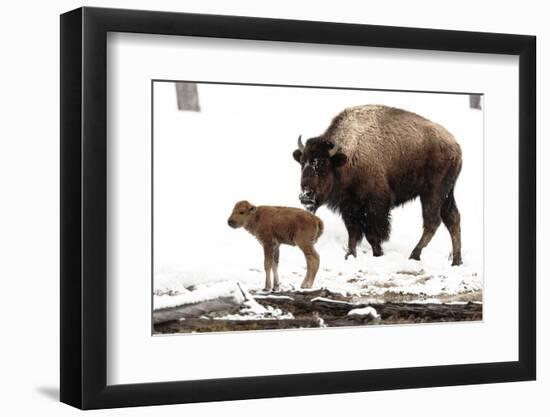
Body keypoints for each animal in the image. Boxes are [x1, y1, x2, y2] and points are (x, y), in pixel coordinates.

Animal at [296, 105, 464, 264]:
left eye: (323, 164)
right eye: (302, 162)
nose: (305, 196)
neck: (348, 157)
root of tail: (455, 146)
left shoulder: (375, 206)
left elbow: (372, 234)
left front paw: (378, 254)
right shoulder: (349, 207)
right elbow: (353, 232)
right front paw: (350, 255)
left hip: (432, 192)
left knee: (432, 222)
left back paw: (414, 255)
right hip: (446, 194)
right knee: (452, 219)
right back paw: (456, 261)